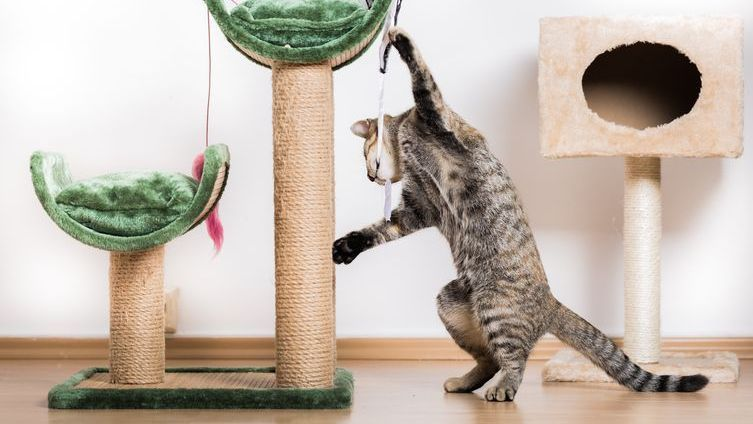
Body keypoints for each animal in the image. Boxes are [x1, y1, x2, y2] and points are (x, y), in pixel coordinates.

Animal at [332, 28, 708, 402]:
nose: (369, 177)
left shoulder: (437, 118)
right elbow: (376, 231)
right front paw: (347, 247)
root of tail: (550, 303)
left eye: (364, 155)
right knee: (490, 359)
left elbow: (422, 76)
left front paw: (398, 37)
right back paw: (465, 382)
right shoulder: (417, 208)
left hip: (494, 307)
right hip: (452, 303)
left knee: (514, 361)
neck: (408, 143)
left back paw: (502, 390)